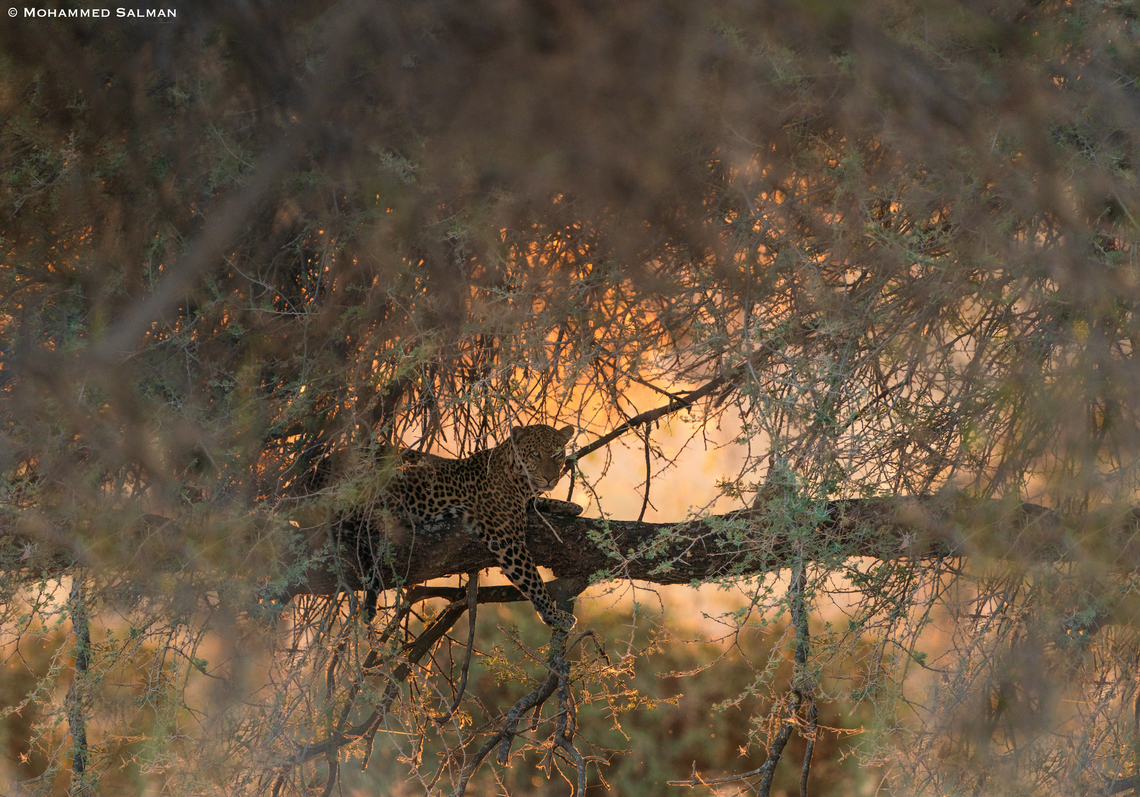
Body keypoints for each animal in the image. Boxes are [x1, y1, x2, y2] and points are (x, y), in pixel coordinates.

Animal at [381, 424, 580, 630]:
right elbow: (534, 582)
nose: (550, 478)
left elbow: (537, 501)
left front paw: (571, 506)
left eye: (557, 454)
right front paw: (554, 615)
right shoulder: (508, 541)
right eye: (535, 454)